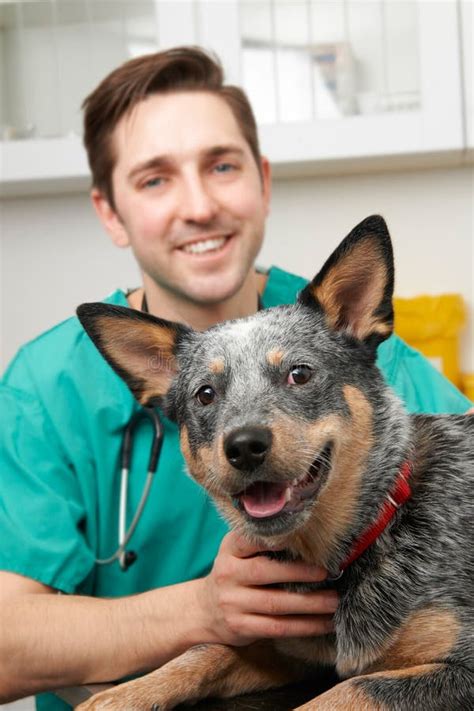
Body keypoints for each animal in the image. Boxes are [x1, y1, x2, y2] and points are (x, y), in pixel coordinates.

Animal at [76, 218, 472, 711]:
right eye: (205, 394)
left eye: (299, 373)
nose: (244, 446)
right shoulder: (286, 648)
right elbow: (207, 650)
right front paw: (120, 695)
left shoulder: (462, 667)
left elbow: (349, 688)